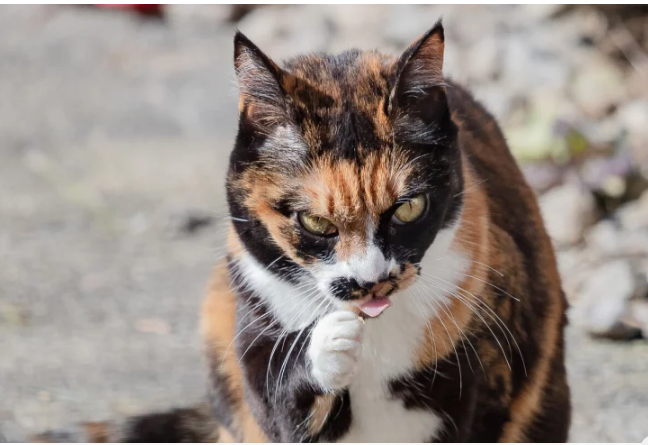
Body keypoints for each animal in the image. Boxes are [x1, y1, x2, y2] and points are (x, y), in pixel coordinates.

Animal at [36, 21, 572, 444]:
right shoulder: (253, 324)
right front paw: (329, 341)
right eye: (316, 222)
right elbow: (277, 398)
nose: (372, 281)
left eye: (408, 208)